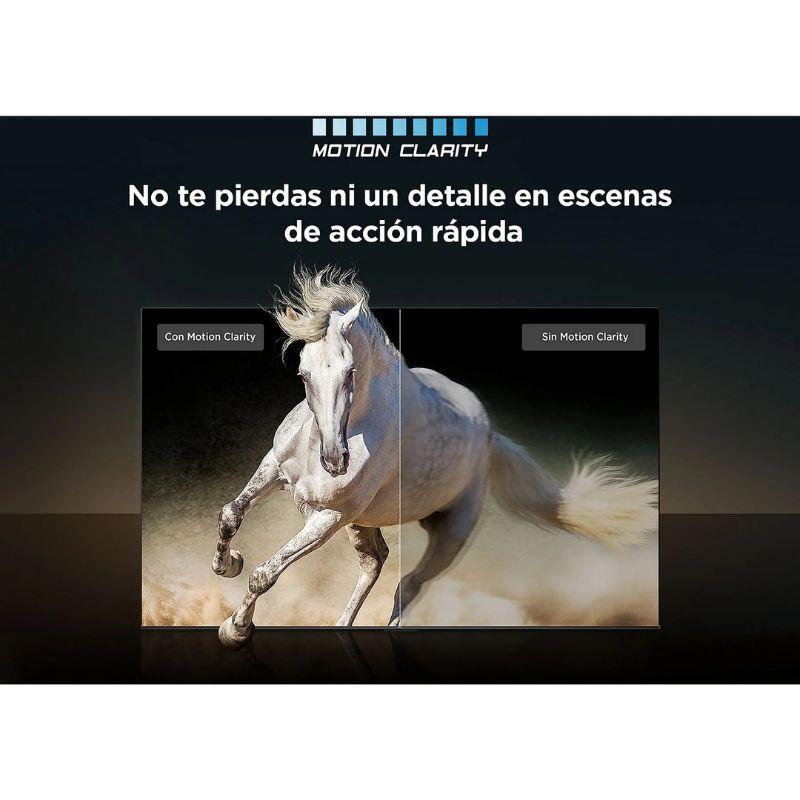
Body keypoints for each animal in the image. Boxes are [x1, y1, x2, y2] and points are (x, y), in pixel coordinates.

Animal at [212, 267, 658, 646]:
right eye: (303, 375)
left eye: (350, 372)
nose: (336, 461)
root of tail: (489, 436)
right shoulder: (275, 468)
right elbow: (231, 514)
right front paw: (227, 564)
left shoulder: (329, 517)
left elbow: (265, 574)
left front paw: (235, 629)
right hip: (364, 522)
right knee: (375, 562)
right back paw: (340, 627)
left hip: (448, 535)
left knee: (405, 583)